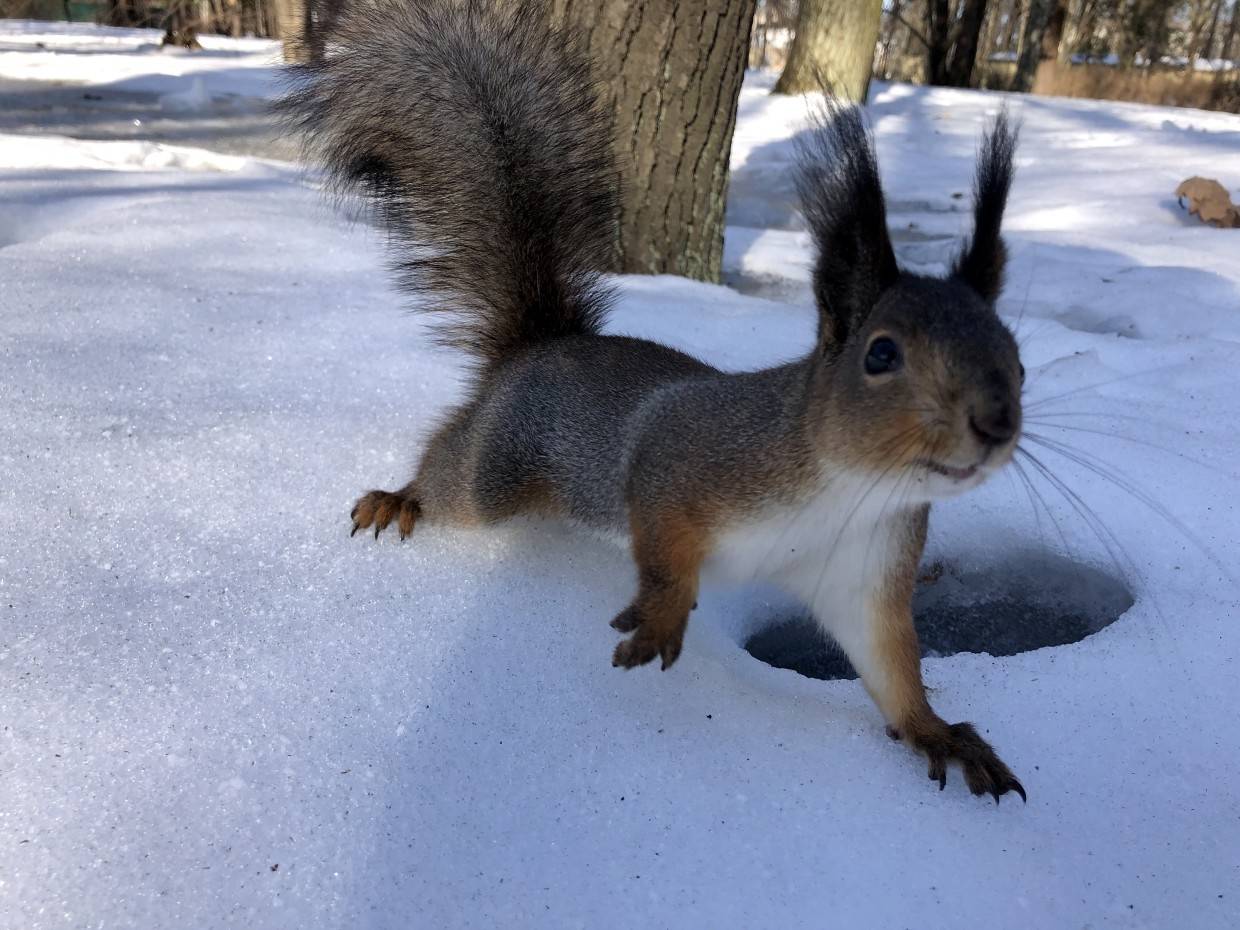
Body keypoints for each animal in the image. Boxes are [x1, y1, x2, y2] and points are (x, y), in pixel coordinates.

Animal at [283, 0, 1026, 803]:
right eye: (881, 355)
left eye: (1017, 354)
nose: (995, 423)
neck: (849, 489)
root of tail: (539, 346)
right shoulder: (685, 457)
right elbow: (665, 547)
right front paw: (665, 616)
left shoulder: (866, 574)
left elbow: (891, 667)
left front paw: (937, 732)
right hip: (494, 474)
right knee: (449, 468)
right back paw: (399, 498)